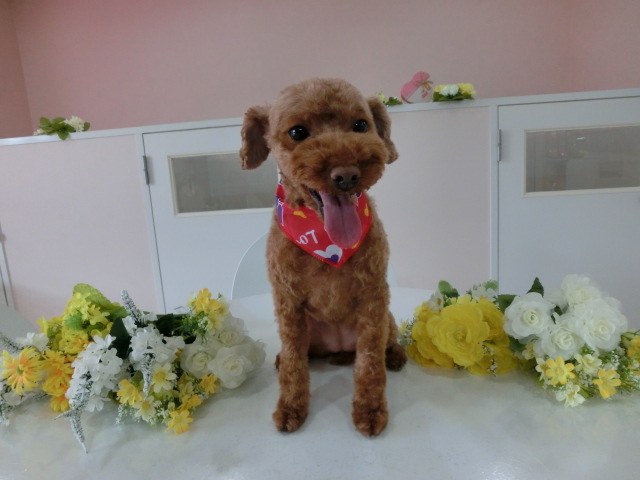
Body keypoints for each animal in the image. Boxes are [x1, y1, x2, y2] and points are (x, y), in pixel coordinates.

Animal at [240, 78, 406, 436]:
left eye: (361, 125)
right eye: (298, 132)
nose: (347, 175)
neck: (327, 244)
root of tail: (339, 348)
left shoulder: (374, 297)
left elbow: (370, 362)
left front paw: (370, 410)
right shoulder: (287, 302)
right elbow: (294, 364)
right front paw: (291, 408)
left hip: (386, 319)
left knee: (386, 342)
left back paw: (396, 355)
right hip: (308, 331)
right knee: (298, 354)